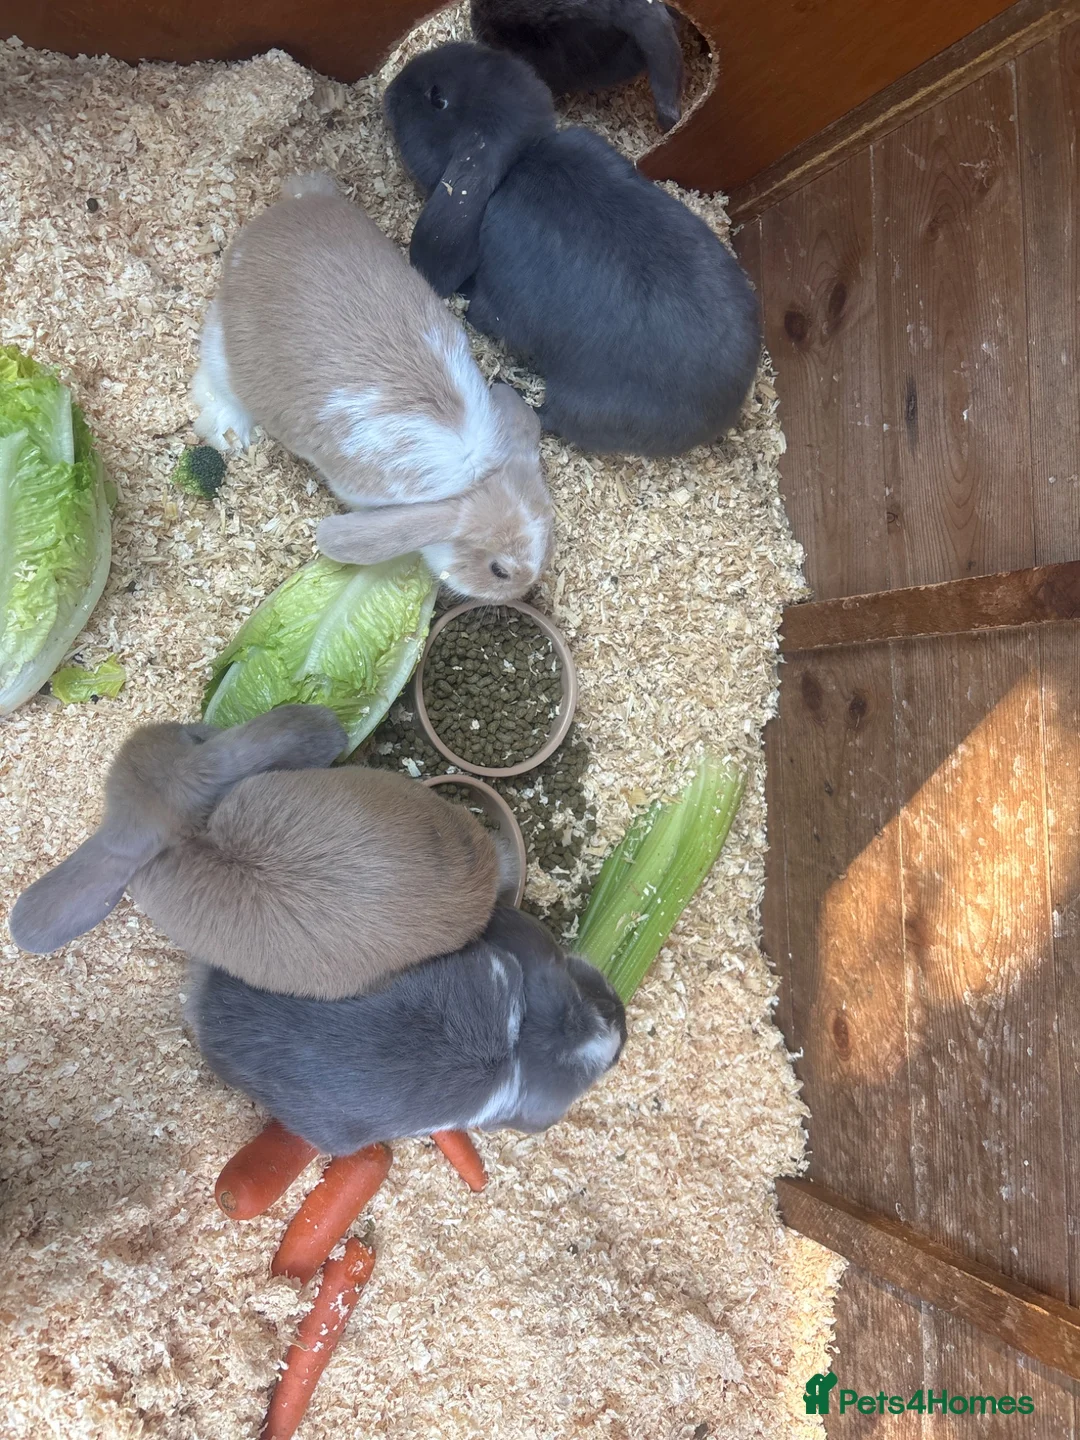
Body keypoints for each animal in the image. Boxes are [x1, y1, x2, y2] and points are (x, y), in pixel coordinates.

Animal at [191, 173, 553, 604]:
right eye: (499, 570)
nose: (523, 589)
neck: (474, 482)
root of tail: (286, 211)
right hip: (224, 346)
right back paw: (229, 428)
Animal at [383, 44, 761, 458]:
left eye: (437, 98)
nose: (392, 87)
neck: (522, 162)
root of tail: (722, 414)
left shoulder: (498, 304)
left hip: (582, 405)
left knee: (547, 416)